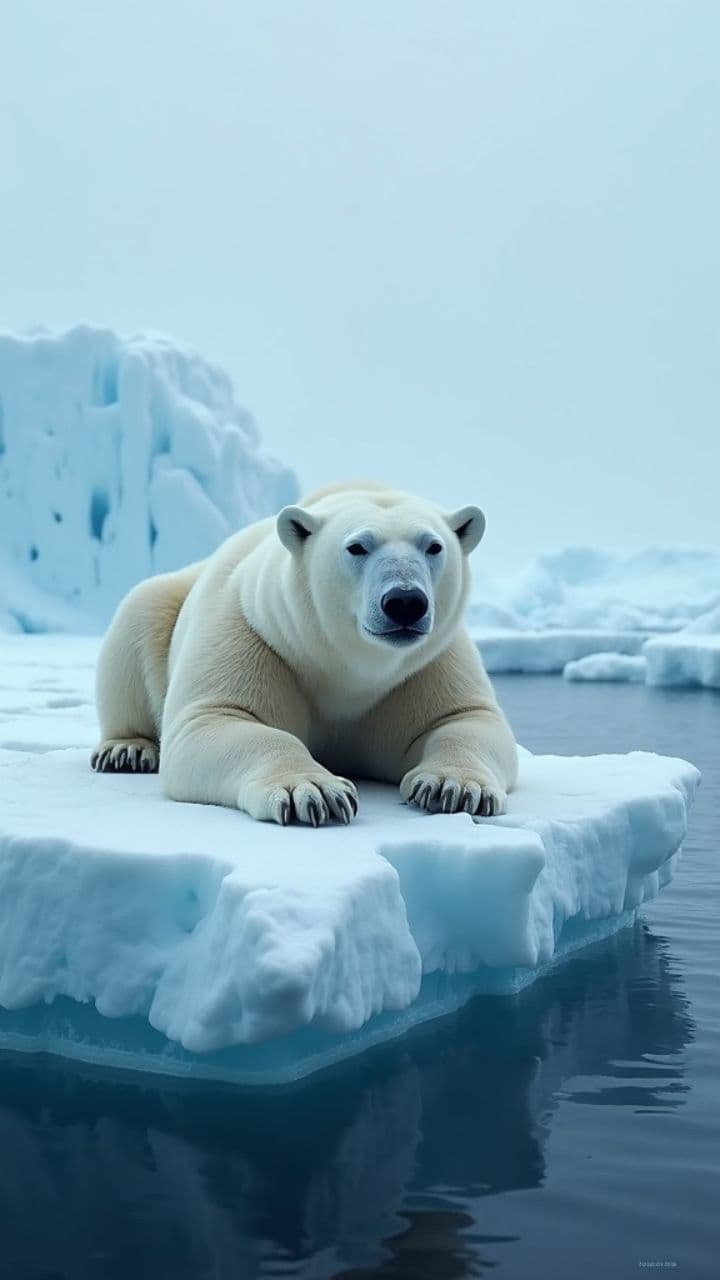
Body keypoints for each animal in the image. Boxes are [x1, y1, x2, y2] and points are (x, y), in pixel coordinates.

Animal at [91, 481, 518, 825]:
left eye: (433, 546)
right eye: (357, 546)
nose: (405, 601)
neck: (346, 669)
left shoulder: (425, 666)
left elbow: (465, 718)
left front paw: (453, 787)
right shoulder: (256, 636)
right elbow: (216, 719)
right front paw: (315, 792)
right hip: (165, 604)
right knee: (139, 614)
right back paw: (126, 750)